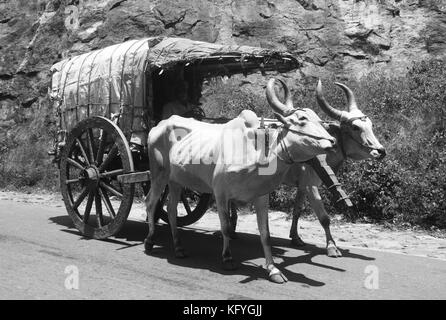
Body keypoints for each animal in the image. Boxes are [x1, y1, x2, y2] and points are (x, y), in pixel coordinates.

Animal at [145, 79, 336, 284]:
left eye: (319, 120)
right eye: (302, 119)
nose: (332, 141)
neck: (256, 152)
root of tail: (159, 125)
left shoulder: (261, 197)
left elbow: (265, 235)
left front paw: (273, 270)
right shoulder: (220, 194)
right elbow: (226, 227)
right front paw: (228, 258)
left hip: (176, 182)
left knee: (172, 210)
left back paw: (179, 248)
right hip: (159, 175)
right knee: (151, 202)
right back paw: (149, 241)